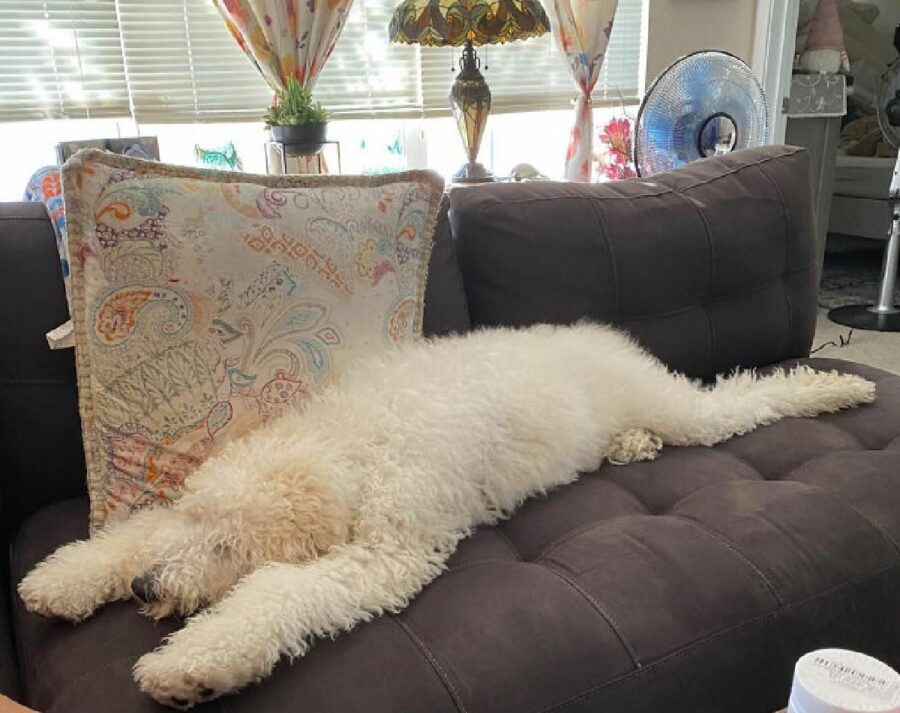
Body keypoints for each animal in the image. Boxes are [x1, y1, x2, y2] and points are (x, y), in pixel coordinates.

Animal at [19, 322, 872, 708]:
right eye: (194, 521)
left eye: (229, 545)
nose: (145, 589)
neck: (351, 443)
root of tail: (605, 338)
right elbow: (129, 531)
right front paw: (63, 580)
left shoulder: (387, 548)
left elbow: (278, 594)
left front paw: (193, 663)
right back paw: (631, 445)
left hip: (689, 407)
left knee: (750, 397)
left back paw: (840, 387)